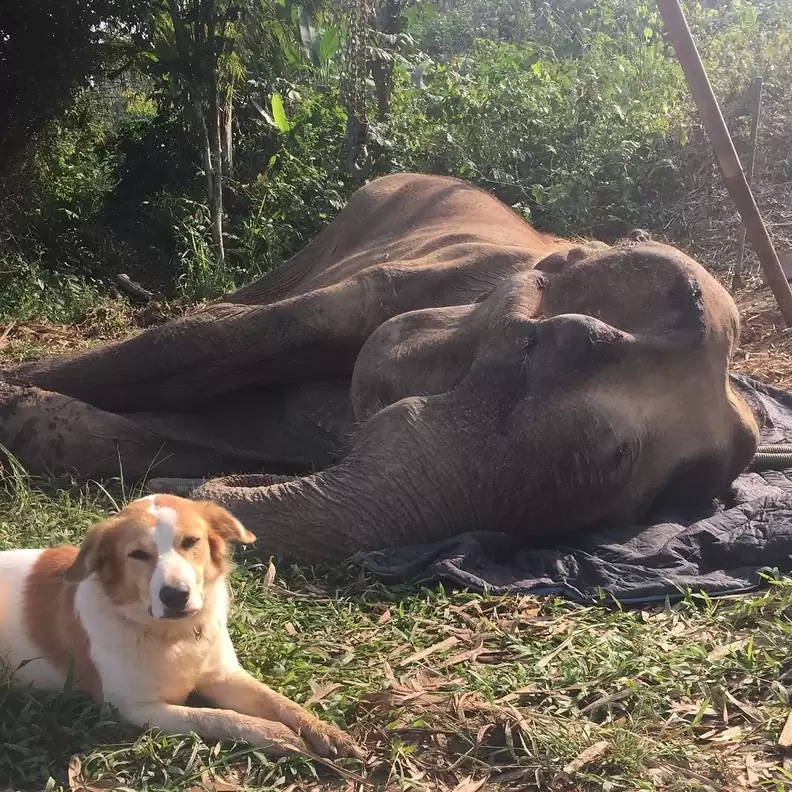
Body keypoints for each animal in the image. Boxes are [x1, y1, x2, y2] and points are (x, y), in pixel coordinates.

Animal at [0, 172, 756, 564]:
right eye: (541, 349)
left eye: (652, 502)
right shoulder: (409, 282)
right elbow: (206, 344)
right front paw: (15, 394)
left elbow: (228, 428)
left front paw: (33, 421)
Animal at [0, 496, 362, 760]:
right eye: (137, 554)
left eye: (190, 542)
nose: (175, 595)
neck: (175, 638)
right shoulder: (136, 708)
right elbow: (214, 716)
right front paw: (275, 735)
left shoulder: (224, 674)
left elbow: (281, 702)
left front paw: (324, 731)